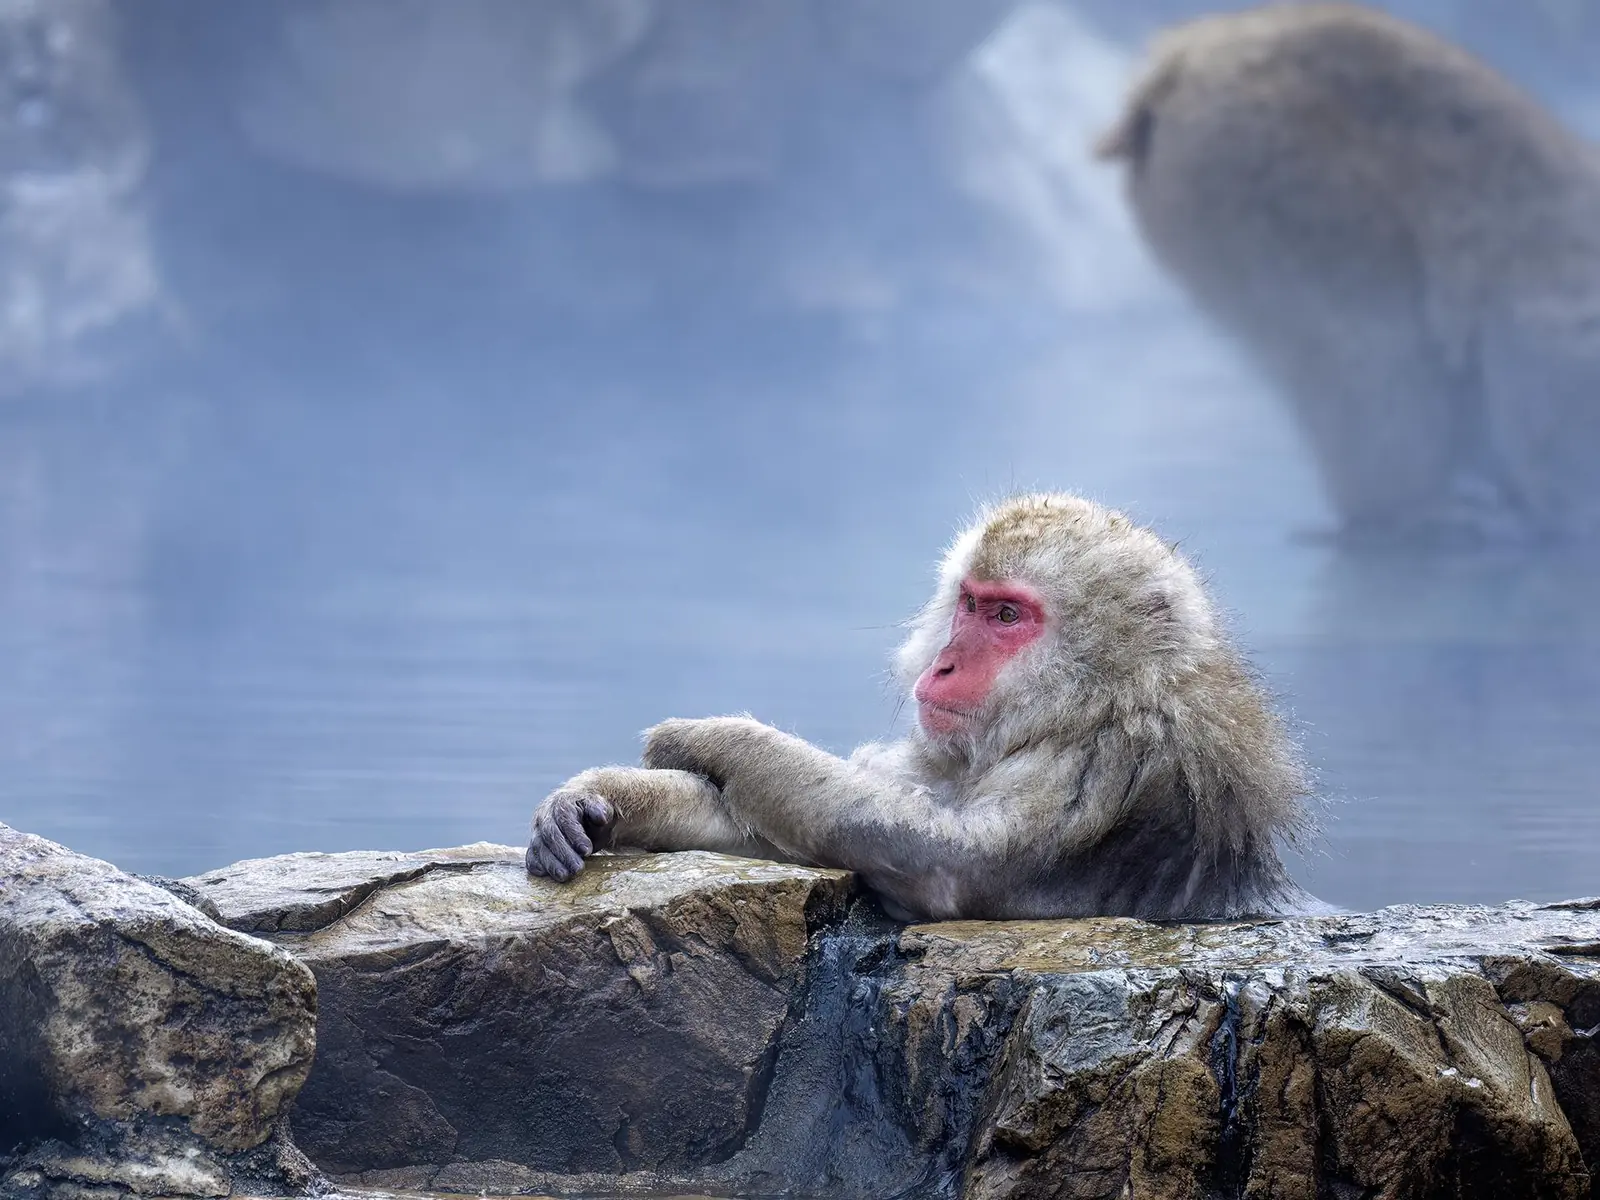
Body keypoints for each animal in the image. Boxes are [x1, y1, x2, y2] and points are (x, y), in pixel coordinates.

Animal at [526, 493, 1323, 922]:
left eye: (1009, 616)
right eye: (970, 602)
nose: (943, 664)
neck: (1097, 701)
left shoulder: (1105, 767)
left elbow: (943, 863)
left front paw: (713, 737)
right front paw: (601, 799)